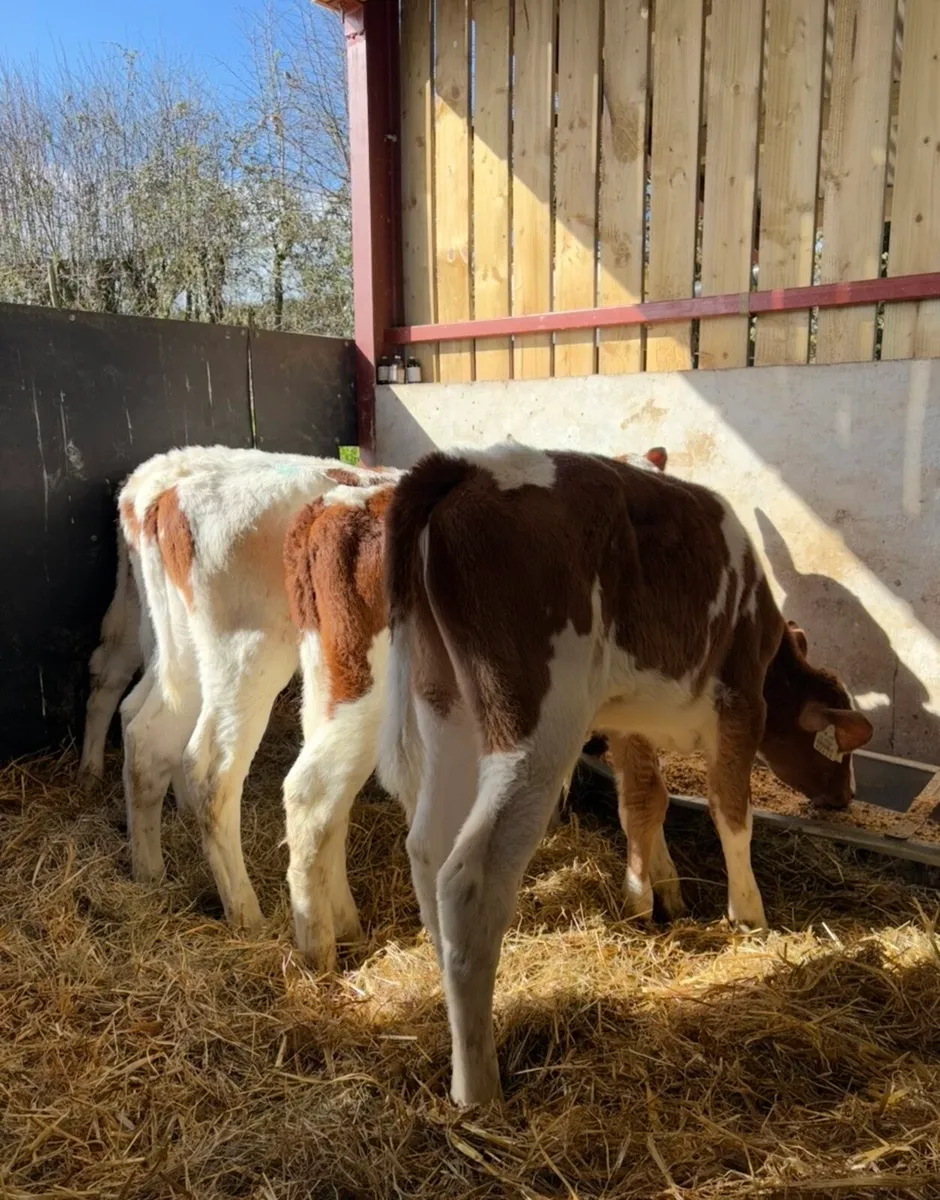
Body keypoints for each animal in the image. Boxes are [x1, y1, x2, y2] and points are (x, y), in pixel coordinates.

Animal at [377, 441, 873, 1105]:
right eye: (842, 752)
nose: (845, 797)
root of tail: (466, 468)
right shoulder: (740, 701)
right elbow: (730, 809)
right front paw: (748, 914)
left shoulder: (629, 717)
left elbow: (646, 800)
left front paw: (655, 893)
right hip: (538, 720)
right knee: (469, 877)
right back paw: (478, 1081)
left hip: (445, 705)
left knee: (429, 850)